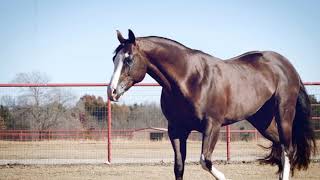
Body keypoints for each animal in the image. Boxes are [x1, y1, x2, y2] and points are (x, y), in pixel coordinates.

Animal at [107, 29, 316, 180]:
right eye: (114, 58)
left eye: (129, 59)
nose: (112, 91)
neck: (190, 78)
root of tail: (286, 65)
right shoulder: (176, 129)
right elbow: (179, 167)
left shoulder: (212, 125)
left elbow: (205, 161)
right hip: (262, 121)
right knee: (281, 146)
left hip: (283, 113)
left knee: (288, 148)